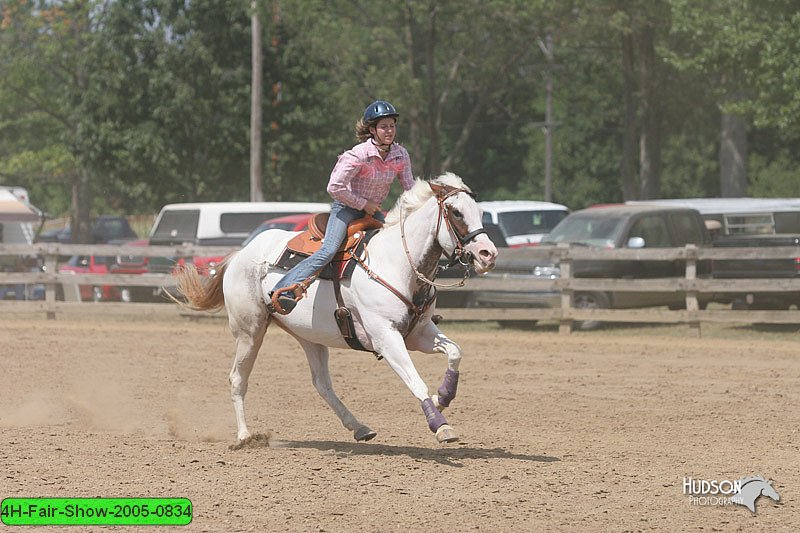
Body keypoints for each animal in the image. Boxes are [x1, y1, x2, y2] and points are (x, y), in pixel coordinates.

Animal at [175, 172, 496, 442]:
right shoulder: (386, 337)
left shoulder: (418, 333)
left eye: (480, 212)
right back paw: (244, 436)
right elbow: (416, 381)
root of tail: (240, 254)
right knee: (238, 378)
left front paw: (444, 397)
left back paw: (360, 428)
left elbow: (455, 351)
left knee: (322, 384)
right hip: (249, 332)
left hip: (310, 337)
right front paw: (440, 425)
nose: (488, 254)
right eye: (456, 212)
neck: (396, 262)